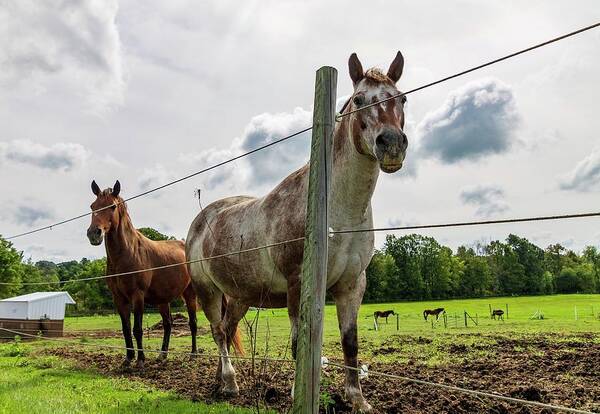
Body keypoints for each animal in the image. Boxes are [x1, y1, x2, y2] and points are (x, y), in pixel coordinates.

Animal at [86, 181, 200, 368]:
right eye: (92, 206)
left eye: (112, 206)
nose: (93, 234)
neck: (127, 253)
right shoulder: (119, 298)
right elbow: (126, 329)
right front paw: (128, 359)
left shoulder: (137, 295)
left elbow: (137, 329)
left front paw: (140, 360)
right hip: (163, 300)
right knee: (168, 324)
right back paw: (162, 355)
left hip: (189, 294)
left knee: (193, 323)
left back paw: (193, 354)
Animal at [188, 51, 410, 410]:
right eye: (359, 99)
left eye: (402, 98)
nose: (391, 144)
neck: (338, 215)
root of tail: (201, 219)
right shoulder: (297, 284)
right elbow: (298, 344)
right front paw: (297, 394)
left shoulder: (352, 285)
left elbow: (350, 342)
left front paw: (358, 400)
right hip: (206, 290)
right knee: (218, 332)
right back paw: (231, 384)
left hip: (240, 296)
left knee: (228, 328)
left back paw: (223, 382)